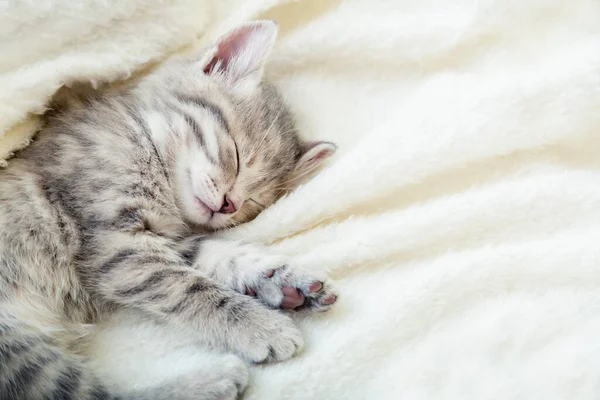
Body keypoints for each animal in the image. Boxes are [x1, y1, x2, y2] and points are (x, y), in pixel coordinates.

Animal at [0, 21, 338, 400]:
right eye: (237, 156)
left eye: (255, 202)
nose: (230, 204)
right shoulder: (113, 244)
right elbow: (187, 287)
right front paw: (259, 325)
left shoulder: (158, 240)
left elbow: (218, 252)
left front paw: (280, 278)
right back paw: (215, 379)